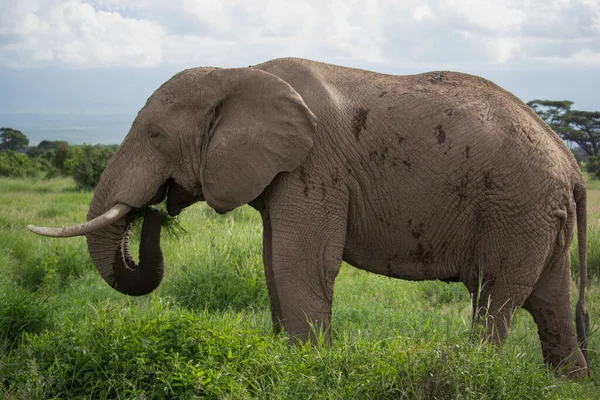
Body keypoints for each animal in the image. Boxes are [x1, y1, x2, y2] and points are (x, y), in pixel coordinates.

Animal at [30, 57, 588, 378]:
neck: (237, 73)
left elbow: (300, 262)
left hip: (516, 209)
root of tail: (572, 164)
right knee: (550, 301)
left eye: (155, 136)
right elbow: (273, 262)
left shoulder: (314, 165)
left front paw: (305, 369)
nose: (157, 209)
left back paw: (472, 372)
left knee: (495, 296)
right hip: (538, 216)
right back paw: (568, 382)